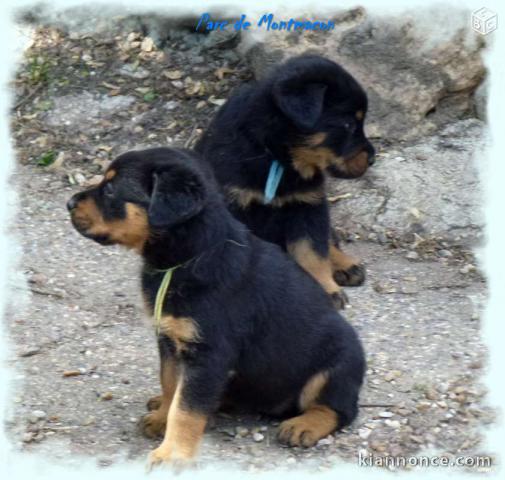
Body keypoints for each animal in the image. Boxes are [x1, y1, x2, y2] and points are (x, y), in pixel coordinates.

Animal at [68, 148, 366, 466]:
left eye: (111, 188)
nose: (69, 203)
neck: (190, 255)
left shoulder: (209, 352)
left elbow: (186, 410)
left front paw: (171, 455)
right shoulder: (170, 339)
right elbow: (171, 385)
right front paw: (162, 418)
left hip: (338, 363)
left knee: (339, 409)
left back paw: (303, 425)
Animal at [196, 53, 374, 308]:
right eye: (349, 125)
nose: (373, 158)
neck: (275, 156)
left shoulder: (308, 205)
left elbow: (312, 252)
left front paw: (326, 290)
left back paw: (345, 265)